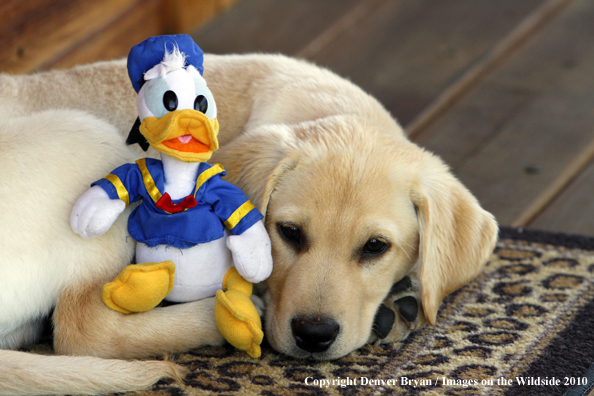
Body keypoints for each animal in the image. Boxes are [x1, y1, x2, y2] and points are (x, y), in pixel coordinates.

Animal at [0, 52, 494, 392]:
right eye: (289, 233)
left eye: (376, 247)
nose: (314, 336)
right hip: (92, 142)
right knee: (82, 328)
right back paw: (224, 317)